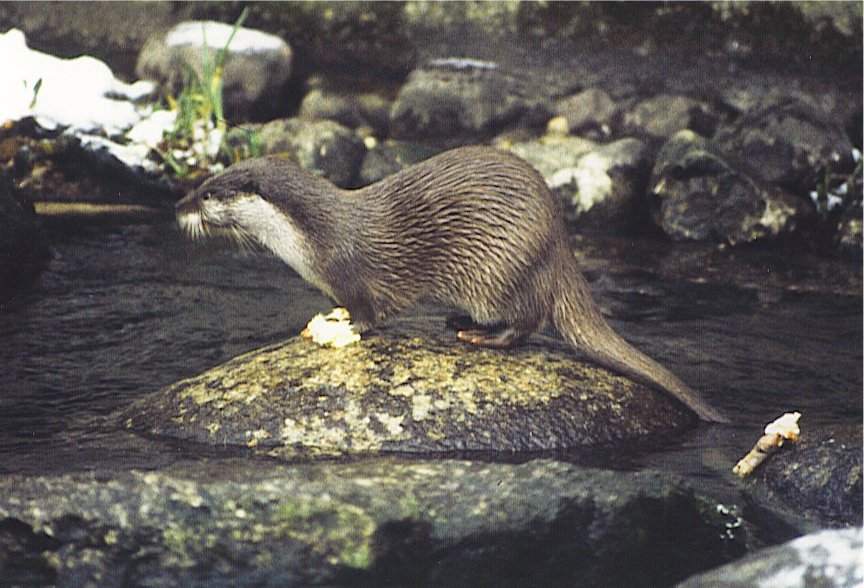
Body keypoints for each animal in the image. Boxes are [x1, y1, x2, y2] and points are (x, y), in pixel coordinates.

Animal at [176, 147, 728, 422]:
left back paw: (481, 334)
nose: (178, 206)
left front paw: (343, 328)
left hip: (504, 267)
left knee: (528, 323)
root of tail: (560, 248)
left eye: (207, 194)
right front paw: (327, 318)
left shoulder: (355, 274)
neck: (313, 239)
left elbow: (368, 315)